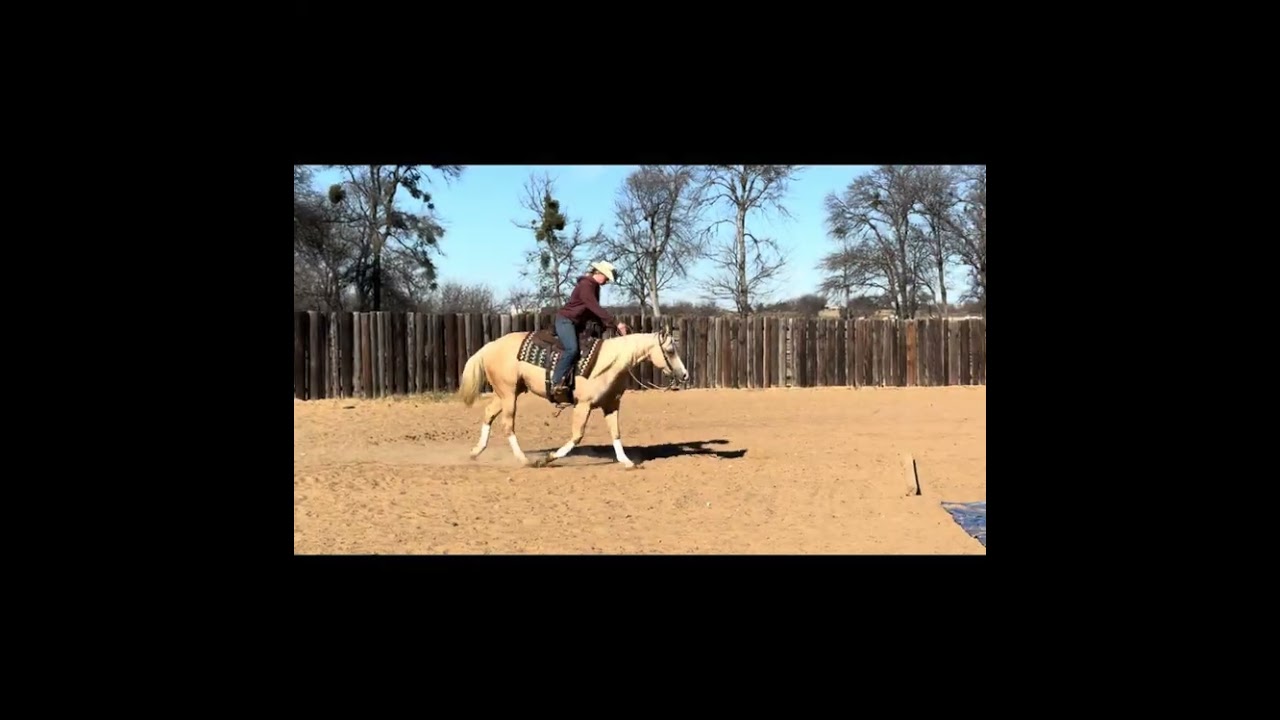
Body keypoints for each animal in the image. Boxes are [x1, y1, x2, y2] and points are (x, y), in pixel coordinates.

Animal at [457, 322, 690, 468]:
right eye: (670, 351)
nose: (685, 374)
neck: (610, 362)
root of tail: (490, 346)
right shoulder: (583, 405)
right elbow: (577, 436)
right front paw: (548, 458)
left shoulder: (611, 405)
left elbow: (616, 433)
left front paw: (627, 462)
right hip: (508, 393)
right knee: (507, 425)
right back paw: (524, 460)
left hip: (508, 392)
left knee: (489, 413)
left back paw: (475, 452)